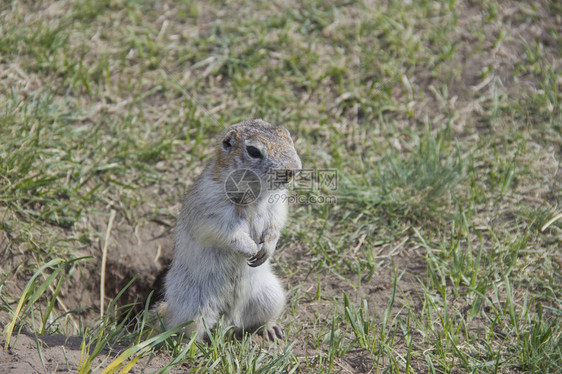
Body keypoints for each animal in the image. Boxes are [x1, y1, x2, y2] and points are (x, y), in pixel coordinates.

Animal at [161, 118, 302, 340]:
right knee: (186, 329)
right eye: (253, 151)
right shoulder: (209, 209)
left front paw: (267, 249)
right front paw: (251, 249)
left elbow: (276, 224)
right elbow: (225, 233)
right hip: (191, 305)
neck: (255, 196)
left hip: (270, 295)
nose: (292, 170)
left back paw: (271, 328)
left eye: (287, 136)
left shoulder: (277, 205)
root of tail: (231, 317)